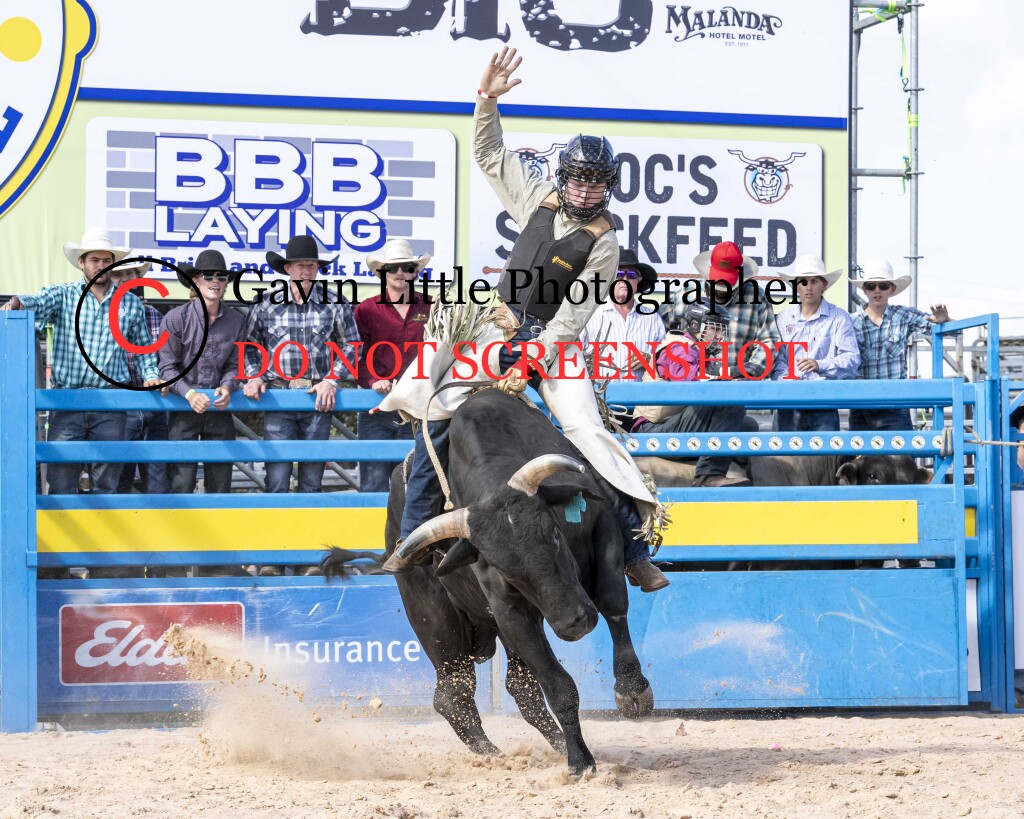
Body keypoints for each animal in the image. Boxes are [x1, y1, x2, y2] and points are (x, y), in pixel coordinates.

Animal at [322, 389, 653, 777]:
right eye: (500, 566)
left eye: (554, 534)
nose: (575, 623)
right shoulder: (509, 611)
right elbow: (557, 685)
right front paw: (580, 762)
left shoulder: (604, 531)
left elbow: (613, 601)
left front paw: (632, 689)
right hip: (435, 622)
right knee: (454, 695)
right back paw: (495, 754)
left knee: (521, 690)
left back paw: (555, 745)